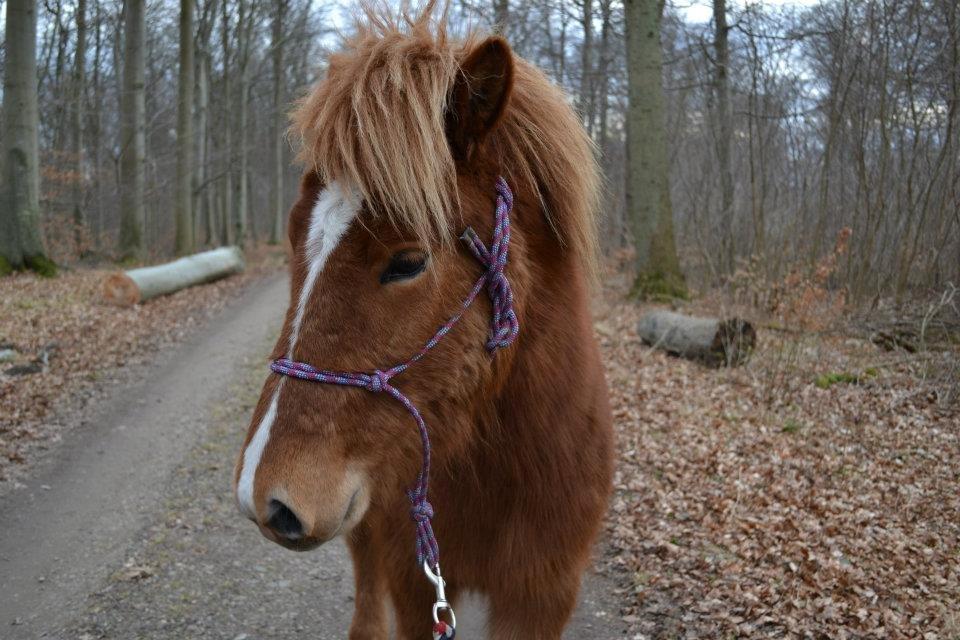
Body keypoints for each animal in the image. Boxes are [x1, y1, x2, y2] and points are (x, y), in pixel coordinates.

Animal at [234, 10, 616, 640]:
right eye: (293, 238)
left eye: (408, 262)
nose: (264, 497)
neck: (500, 471)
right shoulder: (419, 584)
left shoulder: (542, 595)